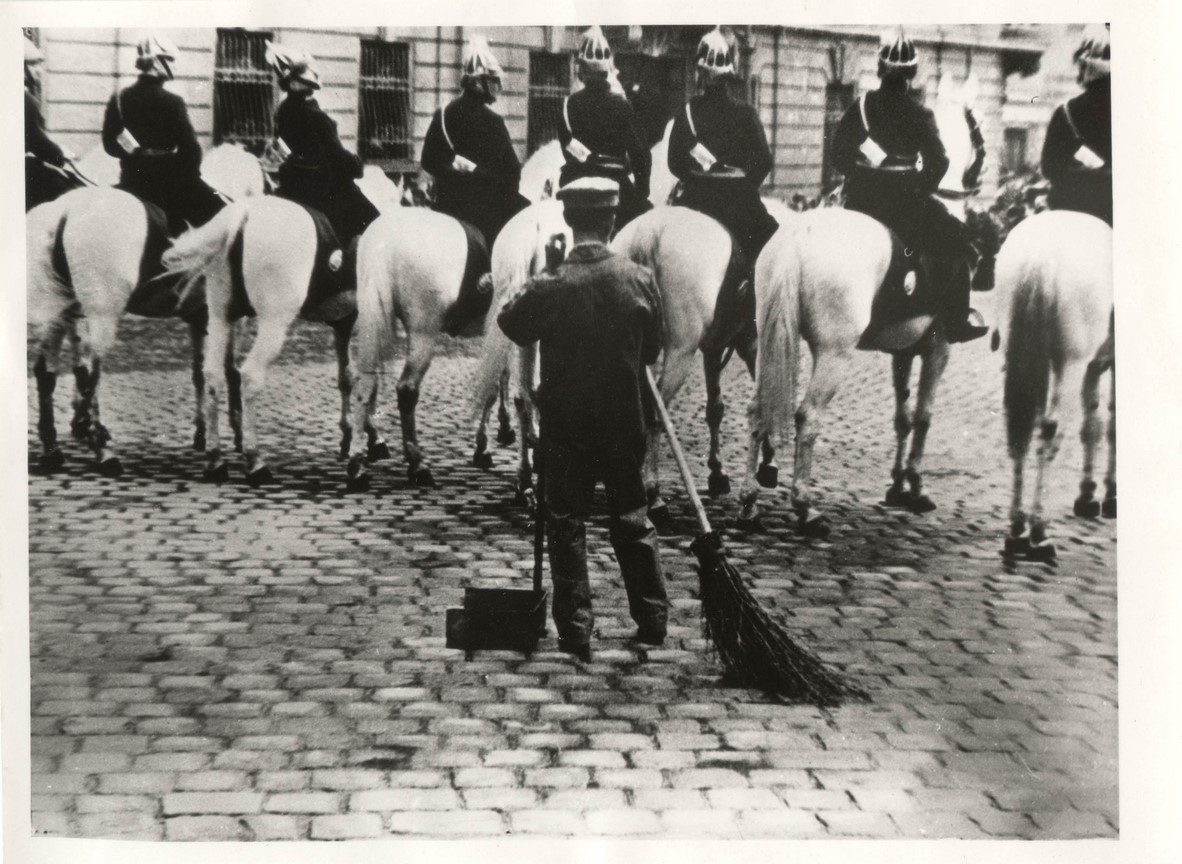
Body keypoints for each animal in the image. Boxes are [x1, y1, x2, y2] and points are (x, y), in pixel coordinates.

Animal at [26, 144, 268, 477]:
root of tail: (65, 211)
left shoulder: (199, 318)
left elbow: (200, 372)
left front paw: (204, 434)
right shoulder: (229, 318)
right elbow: (229, 373)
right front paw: (240, 441)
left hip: (61, 311)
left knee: (46, 372)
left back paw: (54, 448)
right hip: (101, 313)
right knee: (89, 372)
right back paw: (102, 449)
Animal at [742, 76, 992, 534]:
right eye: (978, 126)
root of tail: (799, 234)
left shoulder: (904, 350)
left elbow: (903, 416)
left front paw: (896, 486)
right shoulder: (938, 347)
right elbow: (924, 415)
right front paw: (916, 488)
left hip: (768, 340)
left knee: (757, 409)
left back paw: (749, 501)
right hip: (834, 353)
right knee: (807, 416)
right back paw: (805, 506)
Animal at [992, 209, 1111, 560]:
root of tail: (1041, 254)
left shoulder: (1093, 367)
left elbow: (1093, 426)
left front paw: (1088, 494)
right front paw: (1109, 494)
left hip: (1021, 355)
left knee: (1018, 431)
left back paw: (1017, 528)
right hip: (1068, 364)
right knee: (1049, 431)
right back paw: (1038, 531)